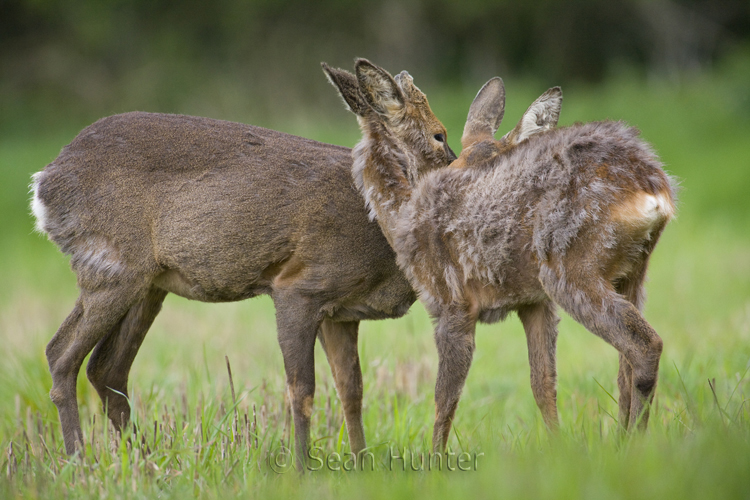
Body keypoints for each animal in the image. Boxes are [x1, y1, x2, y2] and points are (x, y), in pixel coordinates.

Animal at [30, 103, 458, 462]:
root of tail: (44, 179)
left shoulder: (342, 312)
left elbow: (351, 390)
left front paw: (360, 465)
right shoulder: (299, 286)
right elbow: (302, 388)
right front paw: (302, 468)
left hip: (146, 284)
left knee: (105, 368)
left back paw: (146, 461)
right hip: (113, 267)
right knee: (61, 355)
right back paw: (79, 462)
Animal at [326, 59, 680, 454]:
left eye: (440, 134)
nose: (451, 162)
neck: (402, 215)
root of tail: (652, 187)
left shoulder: (451, 301)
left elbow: (444, 399)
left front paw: (434, 460)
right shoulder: (533, 301)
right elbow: (543, 384)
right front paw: (559, 449)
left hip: (569, 267)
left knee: (645, 345)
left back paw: (634, 443)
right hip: (631, 272)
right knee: (624, 366)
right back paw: (625, 442)